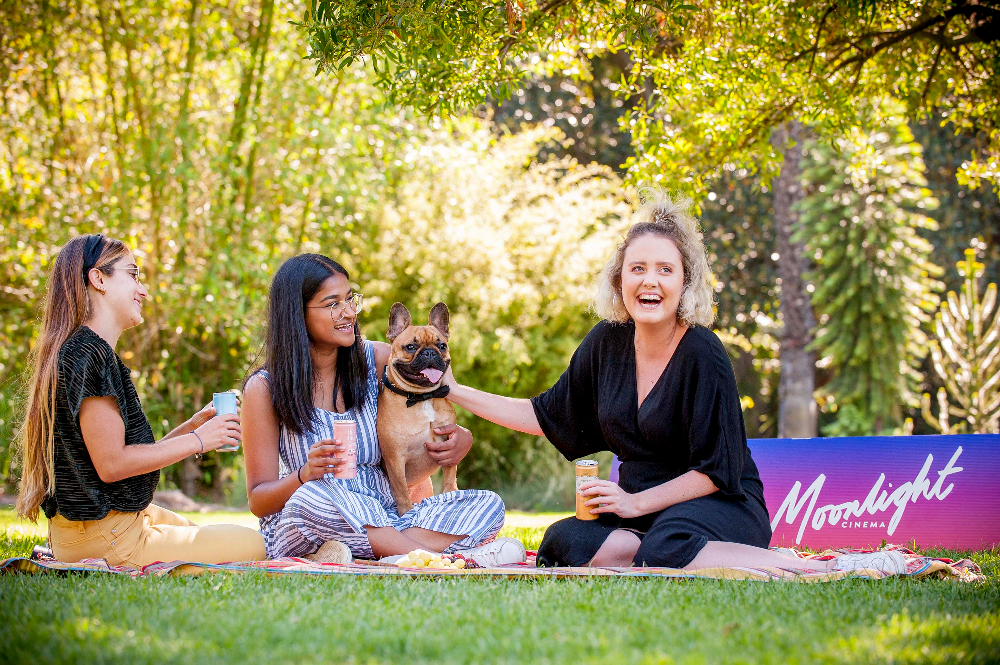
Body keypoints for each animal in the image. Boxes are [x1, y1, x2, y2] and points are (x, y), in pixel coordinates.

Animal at [376, 300, 458, 512]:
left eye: (442, 345)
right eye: (411, 347)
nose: (430, 352)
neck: (423, 398)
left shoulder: (448, 446)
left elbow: (450, 476)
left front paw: (451, 494)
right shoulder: (395, 459)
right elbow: (400, 489)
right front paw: (406, 512)